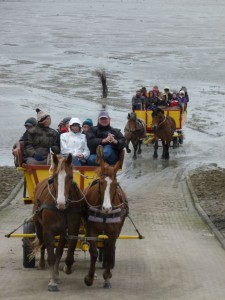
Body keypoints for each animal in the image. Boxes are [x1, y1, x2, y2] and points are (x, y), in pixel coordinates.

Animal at [31, 154, 84, 292]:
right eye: (54, 178)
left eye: (70, 177)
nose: (61, 203)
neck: (61, 210)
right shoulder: (48, 231)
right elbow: (51, 255)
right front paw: (52, 281)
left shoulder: (71, 230)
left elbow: (63, 253)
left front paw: (65, 269)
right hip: (39, 227)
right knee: (41, 243)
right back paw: (42, 264)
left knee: (58, 251)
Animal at [83, 145, 128, 288]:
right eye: (101, 183)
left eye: (115, 184)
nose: (107, 208)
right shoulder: (91, 230)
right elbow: (93, 252)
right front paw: (89, 278)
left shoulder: (114, 232)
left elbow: (109, 251)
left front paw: (107, 276)